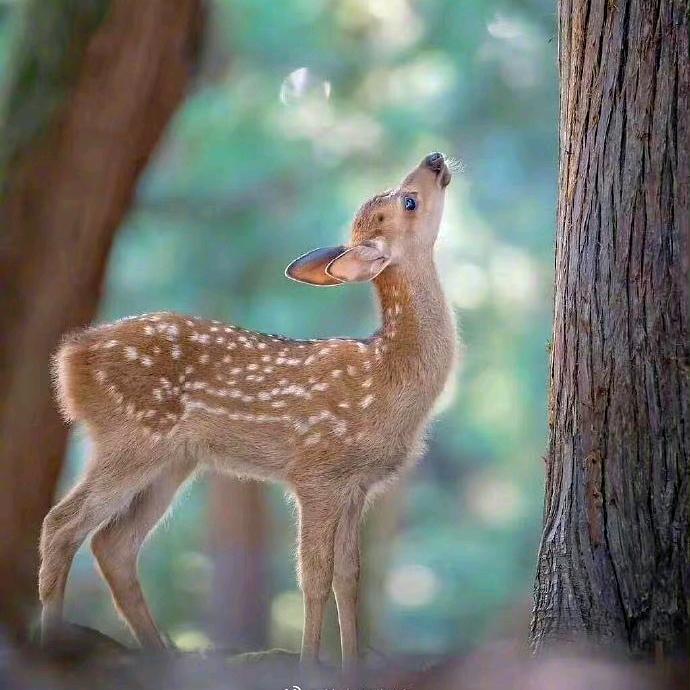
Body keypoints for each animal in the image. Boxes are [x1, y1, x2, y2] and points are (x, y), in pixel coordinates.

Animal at [38, 152, 458, 670]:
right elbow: (313, 576)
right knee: (62, 524)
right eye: (409, 202)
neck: (389, 377)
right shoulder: (316, 472)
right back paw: (53, 643)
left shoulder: (357, 485)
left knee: (113, 544)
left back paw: (163, 656)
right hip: (131, 436)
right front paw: (309, 665)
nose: (434, 159)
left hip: (174, 460)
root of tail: (70, 358)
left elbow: (348, 577)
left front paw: (353, 666)